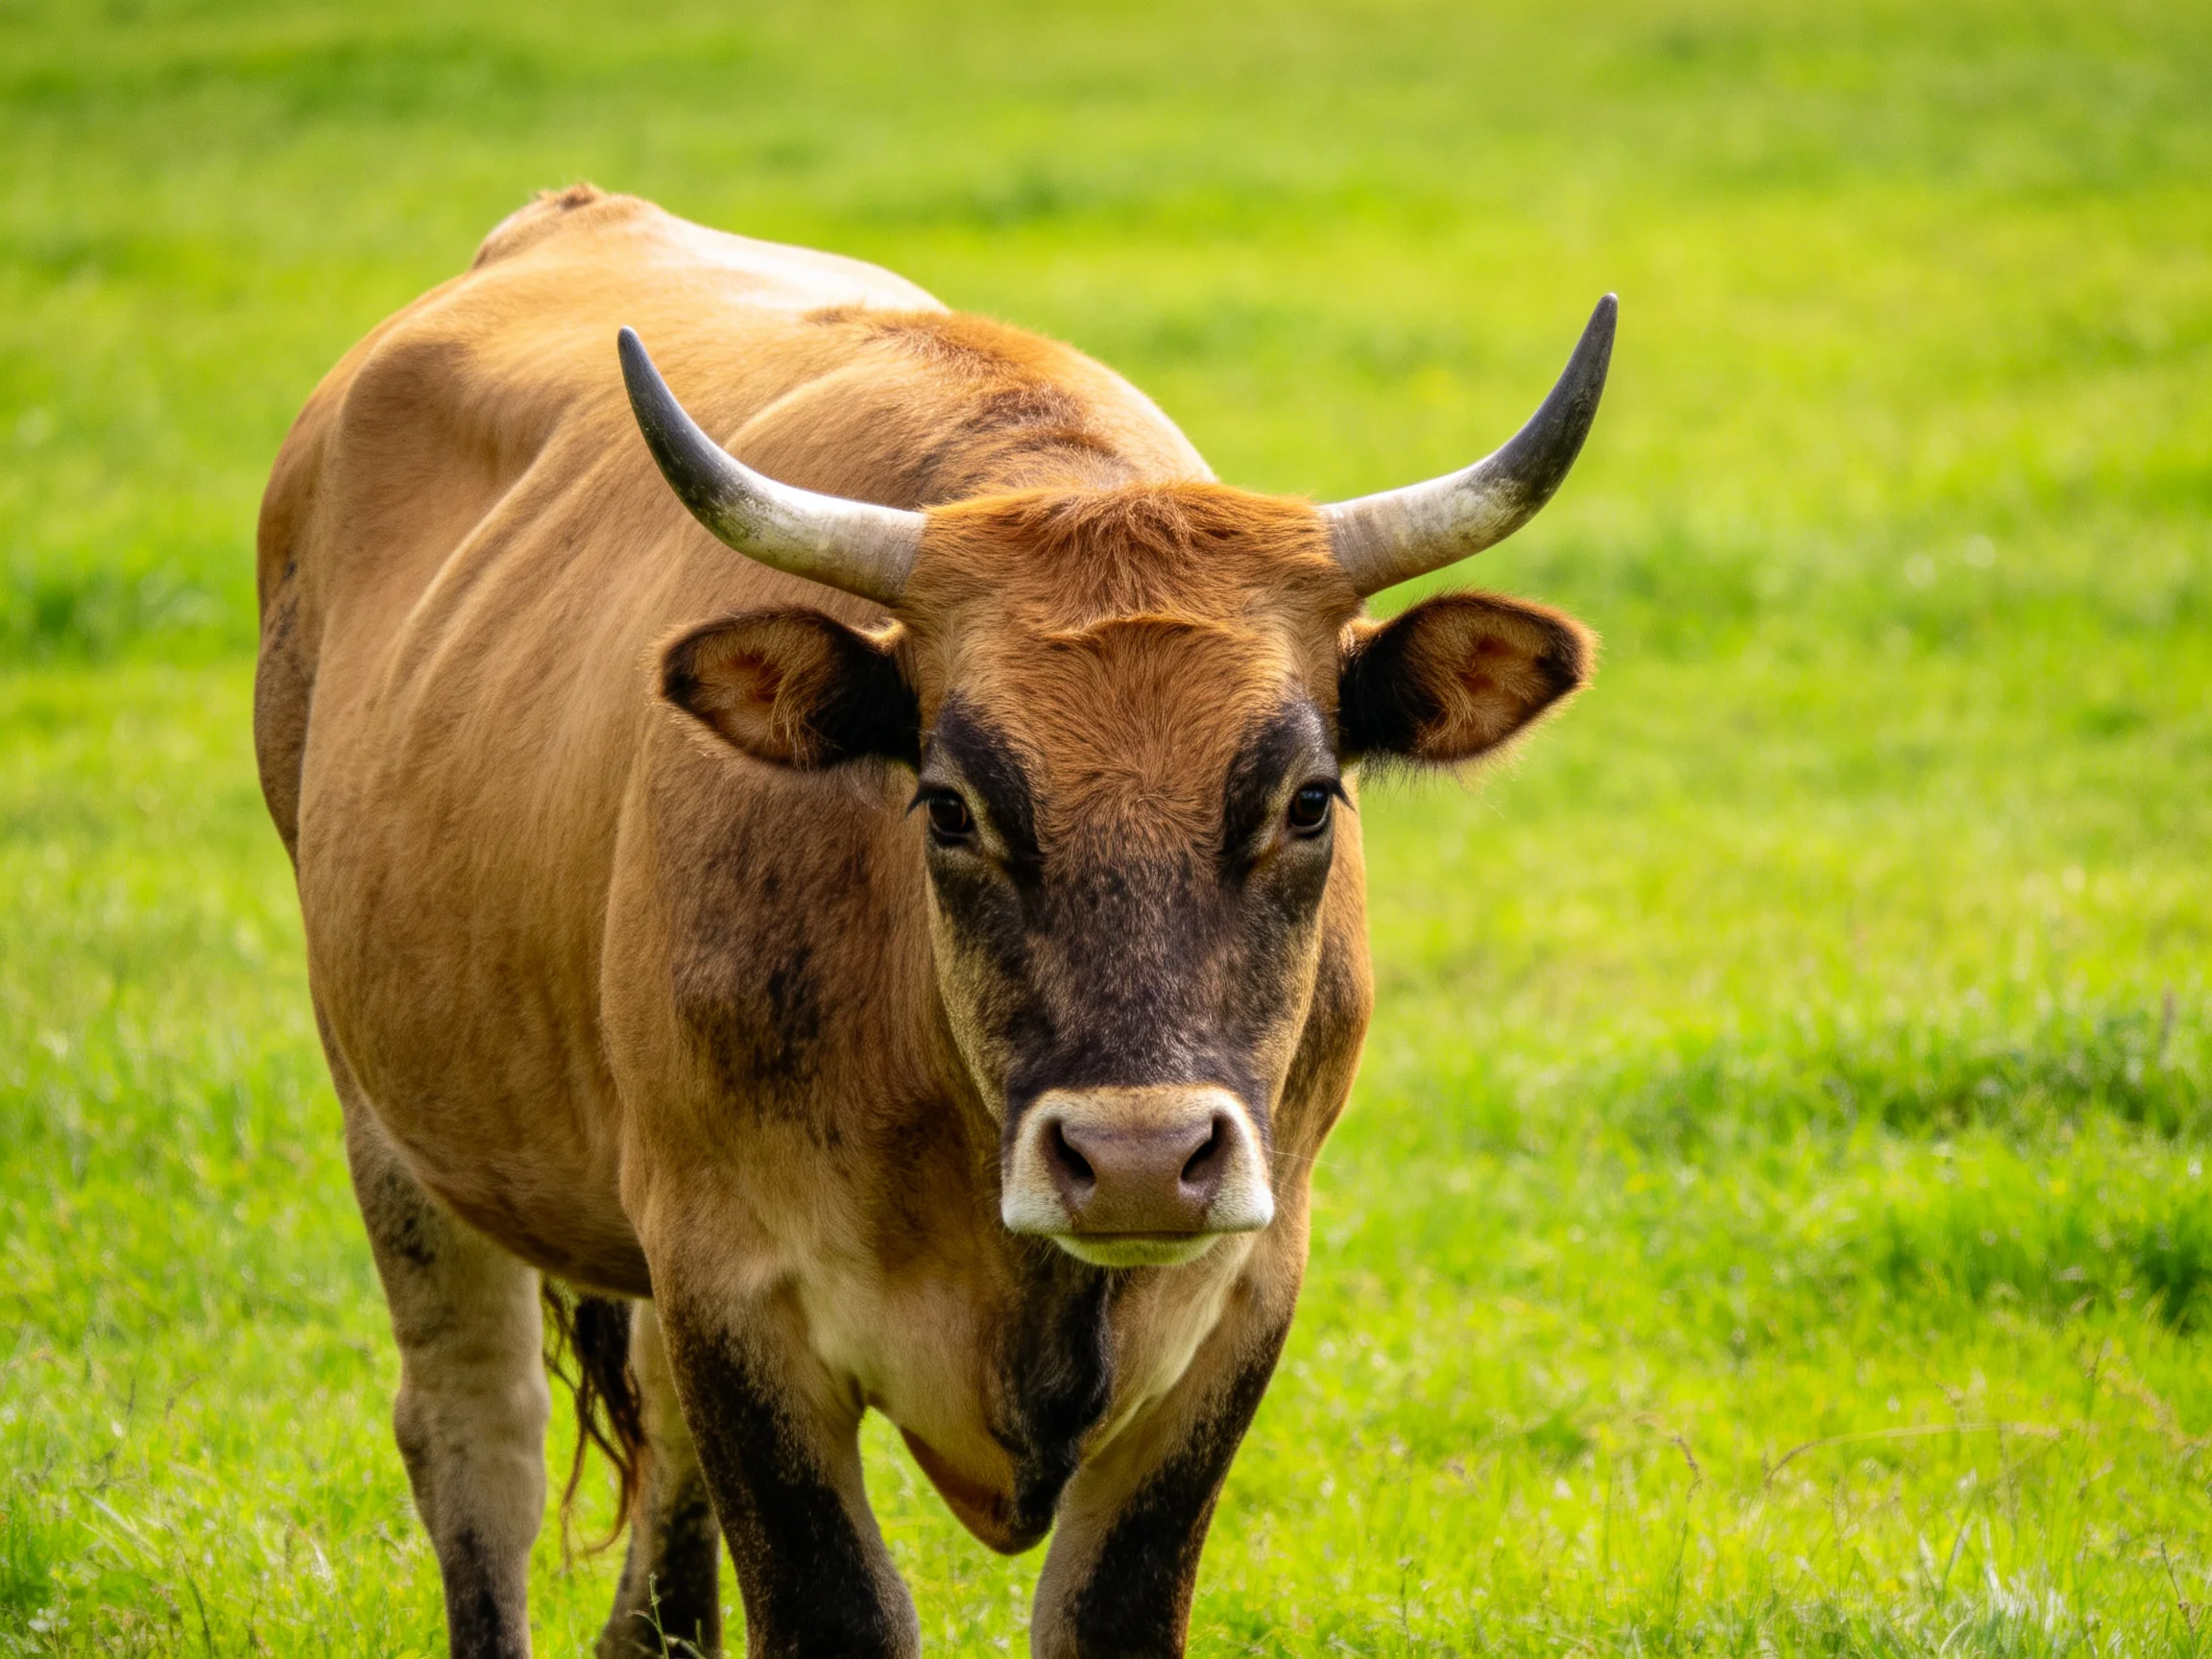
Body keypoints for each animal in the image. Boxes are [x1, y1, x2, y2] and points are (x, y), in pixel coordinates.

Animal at [253, 184, 1611, 1659]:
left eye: (1308, 800)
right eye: (950, 806)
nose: (1138, 1161)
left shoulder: (1242, 1298)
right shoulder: (740, 1296)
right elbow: (834, 1612)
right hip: (390, 1122)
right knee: (476, 1437)